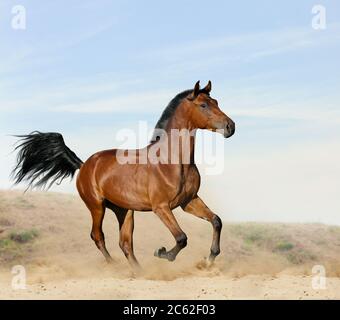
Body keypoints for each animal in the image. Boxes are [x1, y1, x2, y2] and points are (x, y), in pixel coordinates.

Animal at [13, 80, 236, 268]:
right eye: (203, 105)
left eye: (216, 102)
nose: (230, 127)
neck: (172, 162)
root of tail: (84, 165)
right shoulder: (161, 207)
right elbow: (181, 238)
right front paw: (162, 253)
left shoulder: (188, 201)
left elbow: (216, 221)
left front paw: (209, 259)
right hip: (97, 206)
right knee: (98, 236)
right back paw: (115, 266)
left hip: (124, 210)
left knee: (125, 243)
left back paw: (139, 272)